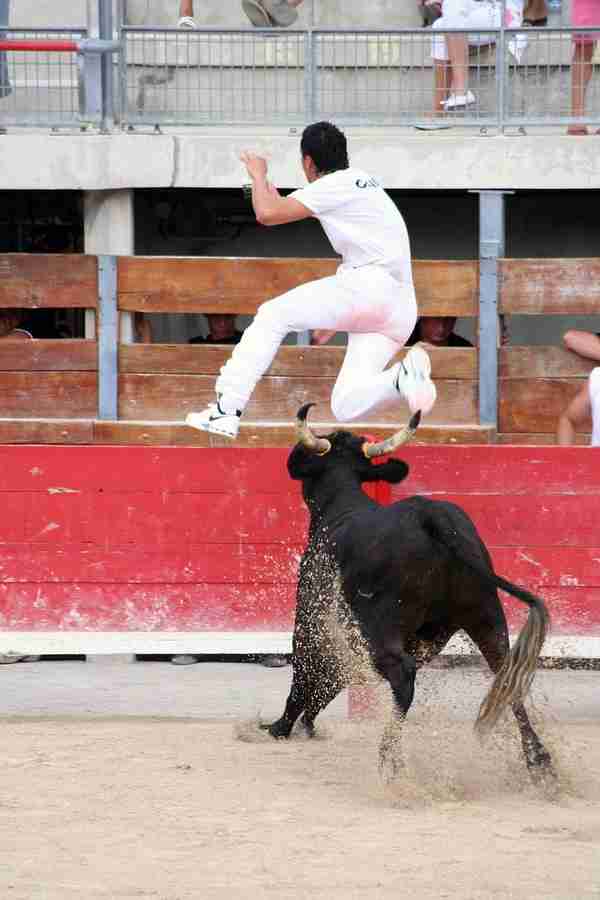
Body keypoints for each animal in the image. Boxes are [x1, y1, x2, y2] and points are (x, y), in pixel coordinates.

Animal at [262, 408, 552, 780]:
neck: (341, 509)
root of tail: (433, 517)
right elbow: (338, 673)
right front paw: (307, 722)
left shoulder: (311, 614)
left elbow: (307, 667)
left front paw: (283, 726)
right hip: (485, 614)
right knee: (507, 673)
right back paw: (539, 761)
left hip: (380, 626)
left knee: (402, 674)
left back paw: (391, 759)